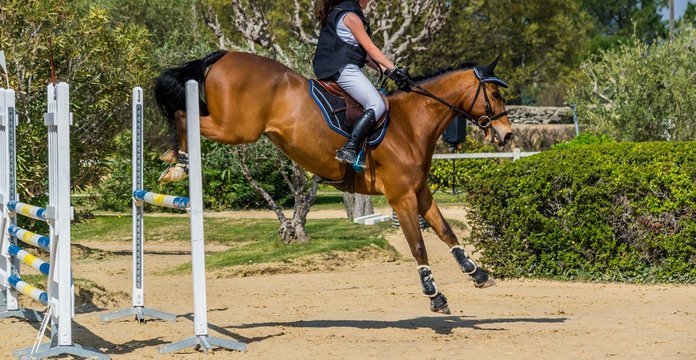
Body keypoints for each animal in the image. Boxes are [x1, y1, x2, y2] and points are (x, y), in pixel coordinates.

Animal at [154, 50, 512, 312]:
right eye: (494, 93)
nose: (507, 135)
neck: (412, 122)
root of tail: (224, 55)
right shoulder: (401, 197)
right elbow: (418, 245)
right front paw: (434, 294)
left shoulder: (420, 192)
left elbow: (446, 231)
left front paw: (476, 272)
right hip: (235, 127)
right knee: (184, 115)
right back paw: (179, 164)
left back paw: (173, 160)